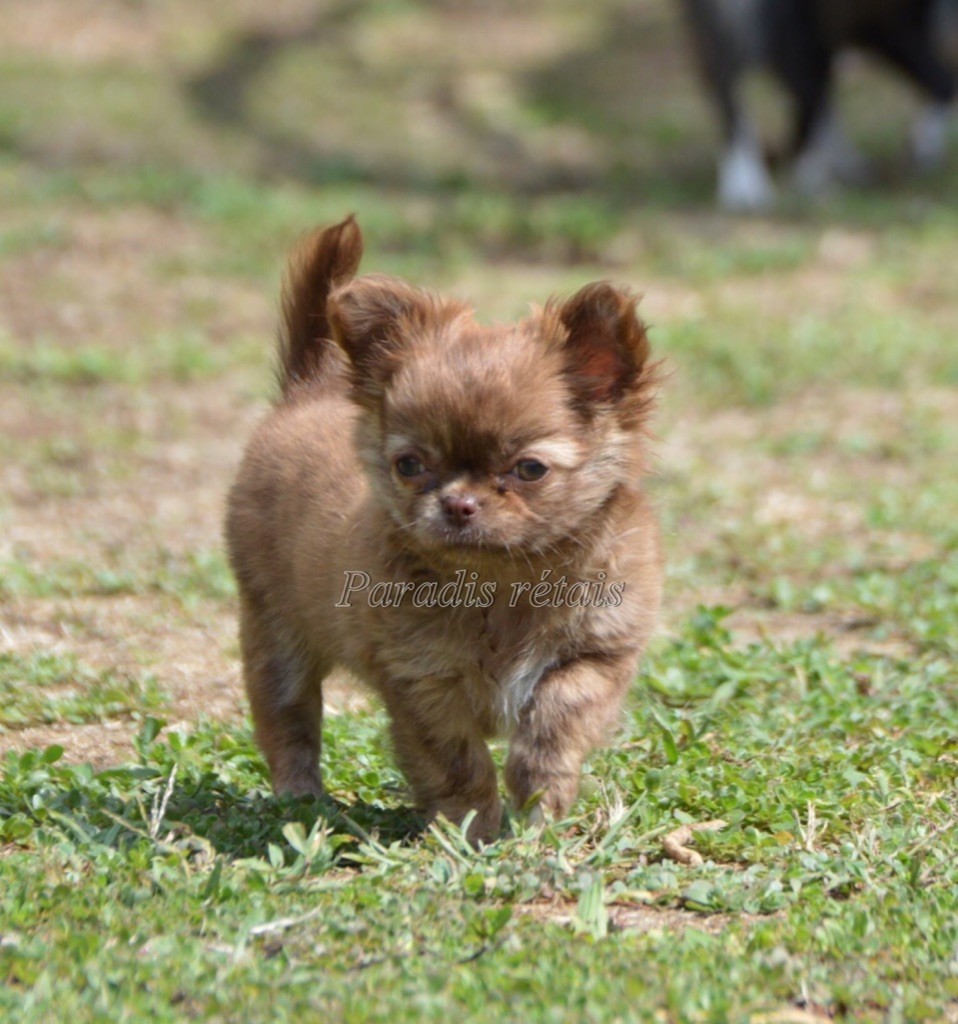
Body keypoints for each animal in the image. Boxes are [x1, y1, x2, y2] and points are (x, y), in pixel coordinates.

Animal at [227, 216, 663, 839]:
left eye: (529, 469)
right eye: (409, 465)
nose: (458, 502)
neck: (505, 583)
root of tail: (307, 388)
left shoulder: (597, 655)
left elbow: (556, 722)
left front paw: (539, 801)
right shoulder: (423, 683)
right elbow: (458, 762)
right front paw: (471, 833)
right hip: (275, 635)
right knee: (287, 722)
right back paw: (301, 798)